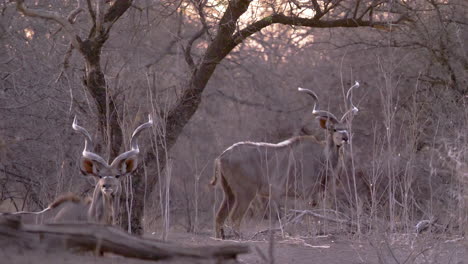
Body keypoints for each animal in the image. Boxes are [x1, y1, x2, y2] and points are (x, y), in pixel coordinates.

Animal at [210, 81, 360, 238]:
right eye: (334, 129)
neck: (322, 157)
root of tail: (221, 156)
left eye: (346, 128)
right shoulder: (305, 193)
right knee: (234, 217)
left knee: (219, 217)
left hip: (229, 193)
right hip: (246, 192)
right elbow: (308, 215)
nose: (345, 138)